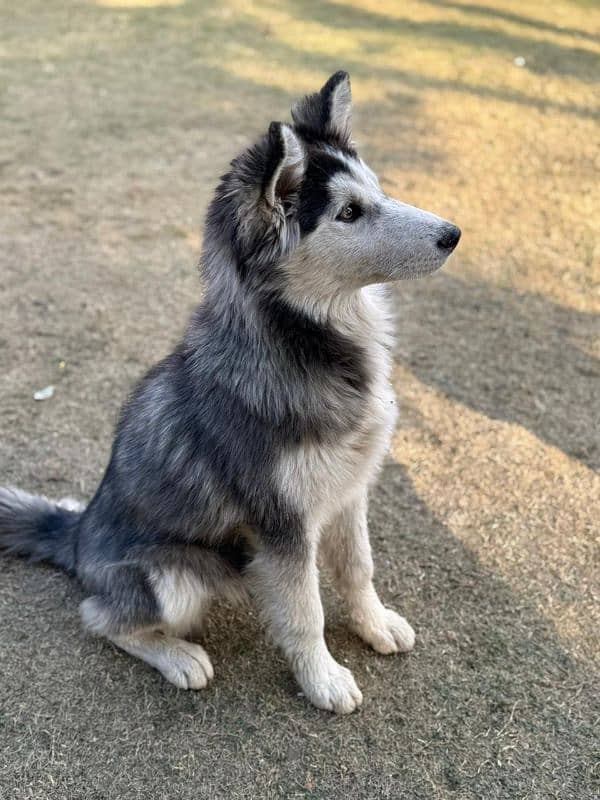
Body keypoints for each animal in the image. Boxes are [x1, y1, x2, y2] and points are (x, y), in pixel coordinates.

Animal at [0, 73, 460, 712]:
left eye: (379, 191)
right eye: (349, 212)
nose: (454, 234)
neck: (309, 341)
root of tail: (78, 537)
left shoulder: (349, 491)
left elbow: (358, 568)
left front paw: (374, 625)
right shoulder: (283, 526)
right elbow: (306, 612)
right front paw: (323, 678)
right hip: (175, 576)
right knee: (99, 617)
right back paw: (179, 657)